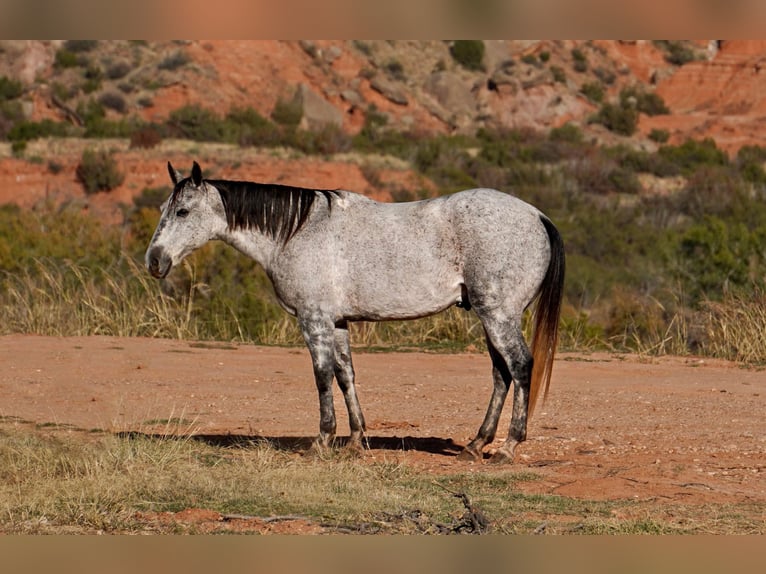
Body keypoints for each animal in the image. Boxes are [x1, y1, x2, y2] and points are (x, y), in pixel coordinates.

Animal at [146, 162, 564, 464]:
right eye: (164, 209)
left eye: (183, 211)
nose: (154, 261)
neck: (297, 231)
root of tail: (538, 217)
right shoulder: (337, 322)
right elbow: (345, 375)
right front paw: (356, 439)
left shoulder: (313, 320)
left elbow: (321, 376)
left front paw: (322, 440)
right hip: (492, 317)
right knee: (501, 374)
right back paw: (476, 444)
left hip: (498, 315)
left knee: (520, 366)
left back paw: (508, 447)